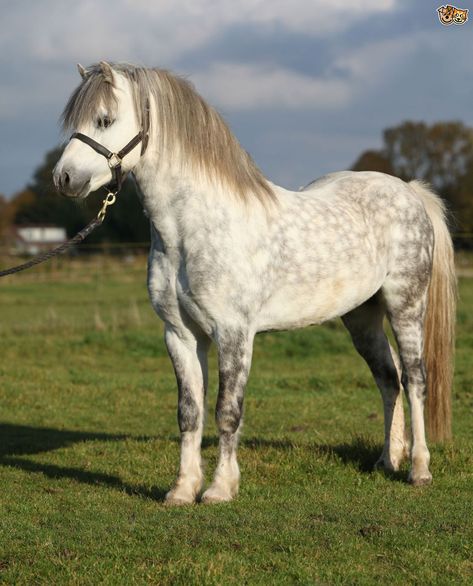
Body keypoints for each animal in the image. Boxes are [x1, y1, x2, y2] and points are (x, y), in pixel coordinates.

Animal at [53, 62, 456, 502]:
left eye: (104, 119)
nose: (63, 178)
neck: (192, 229)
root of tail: (409, 191)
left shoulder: (234, 333)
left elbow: (227, 412)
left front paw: (219, 488)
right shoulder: (180, 335)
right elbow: (189, 413)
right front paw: (182, 490)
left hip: (406, 307)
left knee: (415, 379)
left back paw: (419, 469)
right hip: (361, 317)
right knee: (388, 378)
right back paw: (387, 460)